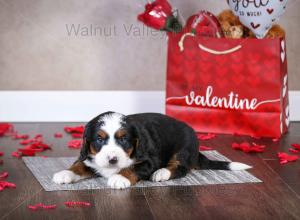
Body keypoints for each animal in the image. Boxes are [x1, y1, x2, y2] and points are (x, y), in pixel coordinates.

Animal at [52, 111, 252, 189]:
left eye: (123, 139)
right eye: (99, 139)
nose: (112, 160)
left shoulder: (149, 160)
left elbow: (133, 168)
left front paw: (119, 178)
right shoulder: (90, 157)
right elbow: (79, 165)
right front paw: (64, 173)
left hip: (183, 148)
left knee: (181, 168)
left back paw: (161, 173)